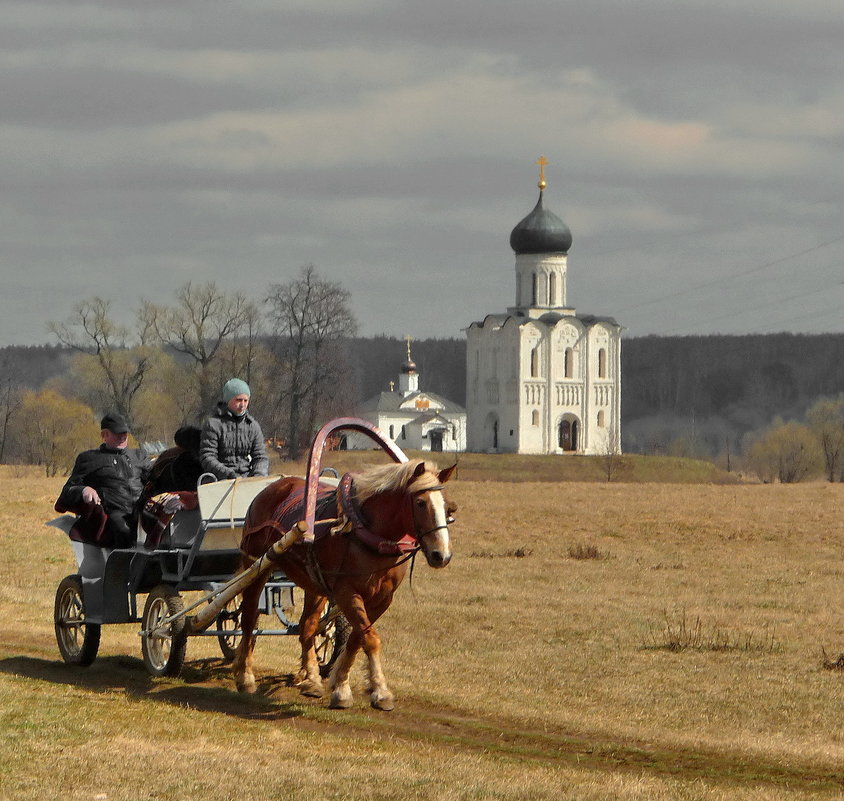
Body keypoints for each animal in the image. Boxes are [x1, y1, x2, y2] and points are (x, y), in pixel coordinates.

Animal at [231, 460, 454, 708]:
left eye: (448, 508)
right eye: (420, 503)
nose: (441, 555)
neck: (370, 533)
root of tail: (273, 486)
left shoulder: (382, 599)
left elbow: (358, 639)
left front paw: (340, 685)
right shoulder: (347, 592)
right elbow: (371, 639)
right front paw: (379, 691)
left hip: (314, 582)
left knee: (307, 626)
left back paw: (311, 679)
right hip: (256, 565)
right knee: (249, 618)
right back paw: (245, 676)